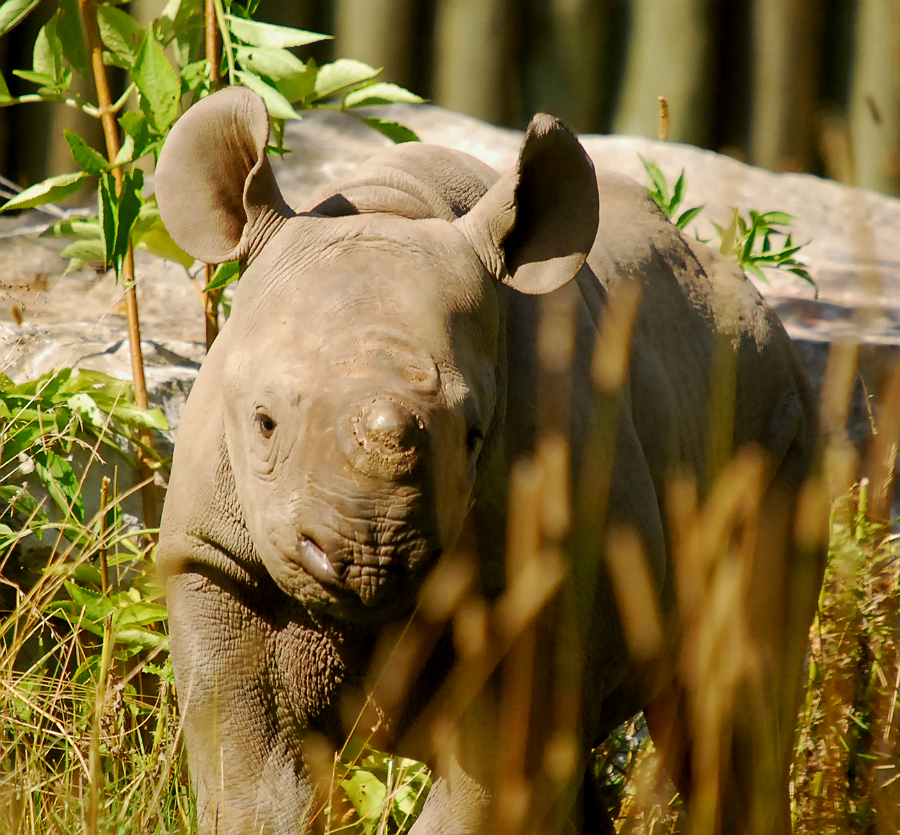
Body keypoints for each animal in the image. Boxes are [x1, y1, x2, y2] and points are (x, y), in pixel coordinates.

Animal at [155, 86, 825, 835]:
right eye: (264, 422)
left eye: (476, 435)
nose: (368, 557)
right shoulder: (217, 558)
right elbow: (257, 787)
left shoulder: (545, 586)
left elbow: (493, 790)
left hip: (777, 417)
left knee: (728, 706)